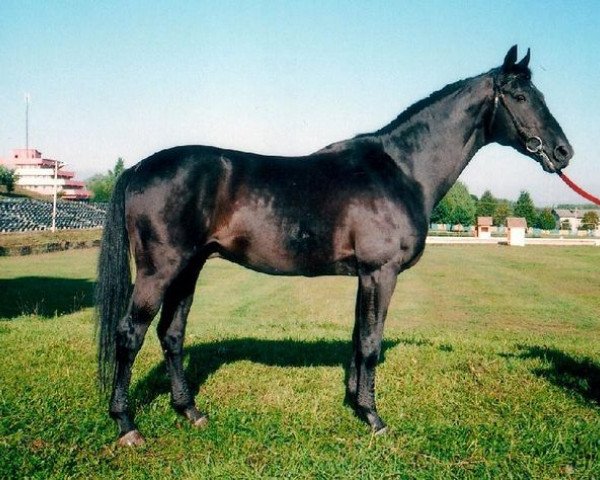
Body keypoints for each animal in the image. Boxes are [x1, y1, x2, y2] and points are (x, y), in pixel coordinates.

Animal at [97, 46, 572, 446]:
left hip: (189, 268)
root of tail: (138, 168)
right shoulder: (381, 272)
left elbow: (358, 338)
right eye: (520, 96)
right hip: (160, 270)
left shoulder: (366, 276)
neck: (401, 170)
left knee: (171, 334)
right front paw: (375, 419)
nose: (563, 151)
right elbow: (371, 343)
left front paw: (356, 403)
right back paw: (127, 426)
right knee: (130, 334)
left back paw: (190, 411)